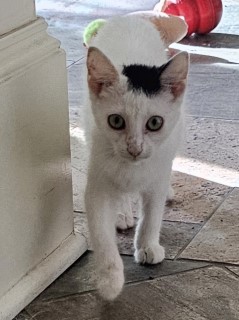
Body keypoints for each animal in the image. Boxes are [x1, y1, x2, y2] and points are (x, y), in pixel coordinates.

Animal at [84, 14, 189, 300]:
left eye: (154, 123)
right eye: (116, 121)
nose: (135, 149)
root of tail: (128, 17)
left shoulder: (157, 171)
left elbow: (152, 213)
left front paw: (147, 245)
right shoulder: (97, 180)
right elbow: (101, 233)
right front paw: (109, 279)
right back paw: (121, 213)